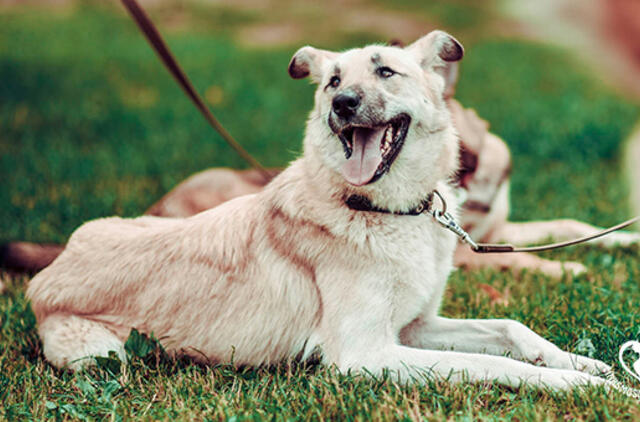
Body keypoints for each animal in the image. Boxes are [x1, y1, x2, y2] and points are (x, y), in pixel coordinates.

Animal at [27, 32, 612, 390]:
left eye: (386, 72)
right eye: (332, 81)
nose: (342, 104)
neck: (387, 212)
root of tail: (49, 270)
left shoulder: (413, 327)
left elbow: (511, 331)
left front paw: (587, 364)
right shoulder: (365, 355)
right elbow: (485, 363)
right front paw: (580, 386)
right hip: (102, 355)